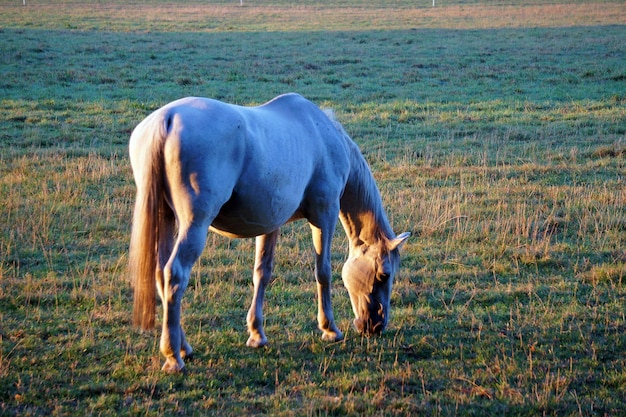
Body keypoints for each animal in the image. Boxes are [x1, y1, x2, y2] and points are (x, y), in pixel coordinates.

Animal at [128, 92, 410, 372]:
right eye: (384, 275)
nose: (376, 326)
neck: (325, 136)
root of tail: (167, 119)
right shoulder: (325, 215)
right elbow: (323, 272)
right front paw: (330, 329)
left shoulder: (270, 224)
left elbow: (262, 274)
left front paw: (257, 334)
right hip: (194, 225)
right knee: (175, 274)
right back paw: (173, 357)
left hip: (165, 219)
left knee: (161, 273)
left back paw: (183, 347)